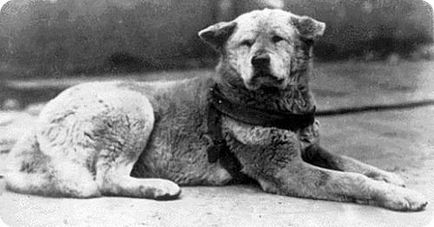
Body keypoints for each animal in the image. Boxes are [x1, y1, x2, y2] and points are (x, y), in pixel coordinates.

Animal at [4, 8, 428, 211]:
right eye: (245, 43)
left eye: (278, 39)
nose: (259, 60)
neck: (271, 101)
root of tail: (34, 127)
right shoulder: (286, 170)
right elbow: (349, 180)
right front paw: (398, 197)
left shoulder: (310, 148)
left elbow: (351, 162)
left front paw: (390, 177)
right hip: (135, 106)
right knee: (106, 178)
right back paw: (156, 187)